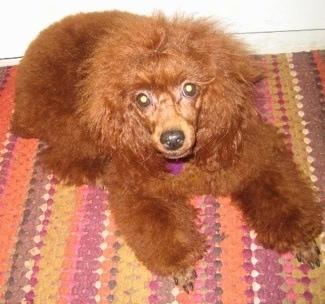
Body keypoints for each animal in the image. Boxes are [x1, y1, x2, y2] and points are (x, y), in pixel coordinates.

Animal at [10, 10, 322, 292]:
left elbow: (281, 197)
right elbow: (161, 228)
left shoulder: (253, 153)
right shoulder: (138, 186)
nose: (172, 139)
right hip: (74, 122)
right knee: (60, 156)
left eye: (190, 88)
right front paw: (181, 266)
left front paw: (301, 239)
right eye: (142, 99)